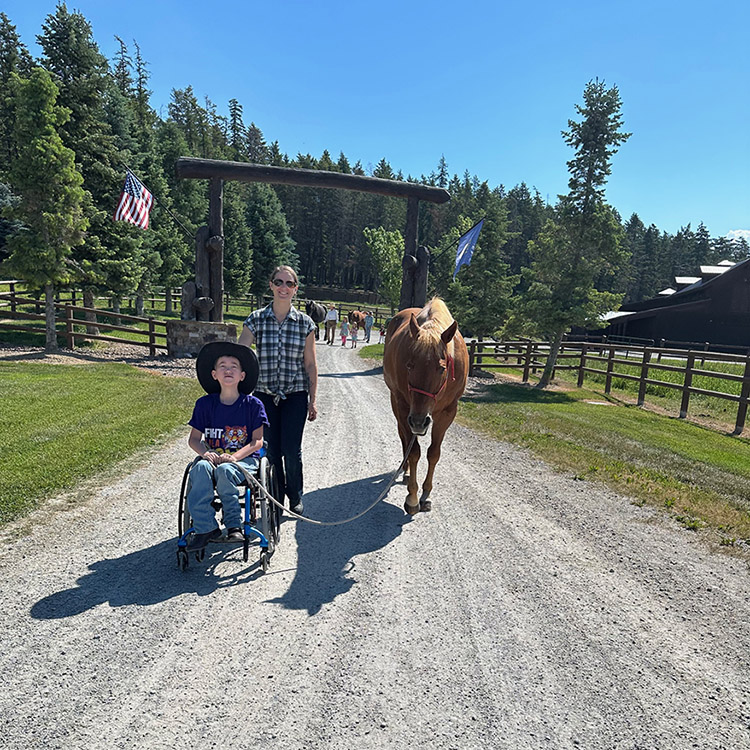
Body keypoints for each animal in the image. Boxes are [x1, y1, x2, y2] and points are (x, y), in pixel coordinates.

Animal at [384, 300, 468, 516]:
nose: (419, 422)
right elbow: (414, 452)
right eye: (410, 365)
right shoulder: (405, 408)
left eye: (442, 368)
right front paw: (412, 498)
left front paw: (426, 494)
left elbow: (433, 453)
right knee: (404, 438)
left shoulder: (447, 413)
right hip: (398, 406)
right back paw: (405, 471)